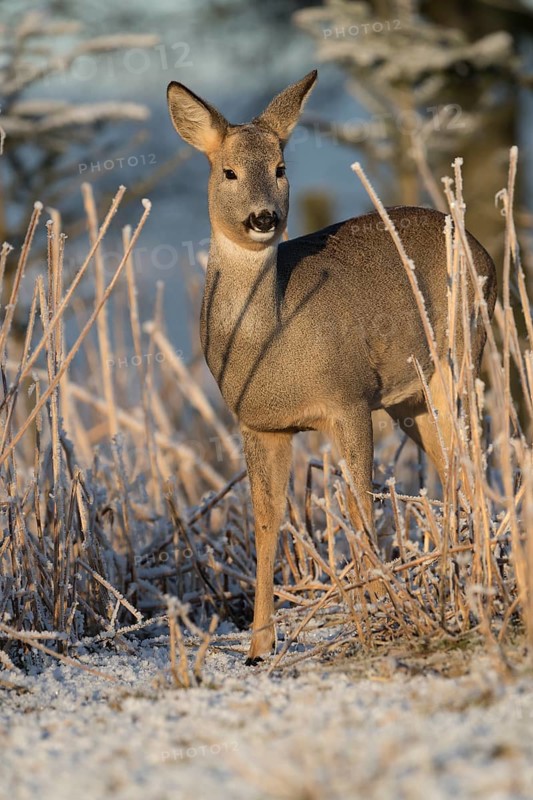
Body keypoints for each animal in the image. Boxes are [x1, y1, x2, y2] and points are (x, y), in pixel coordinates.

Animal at [166, 70, 497, 665]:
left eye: (280, 167)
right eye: (228, 171)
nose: (263, 218)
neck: (274, 340)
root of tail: (483, 251)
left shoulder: (349, 398)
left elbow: (359, 506)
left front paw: (372, 612)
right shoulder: (259, 424)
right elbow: (267, 520)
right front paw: (258, 646)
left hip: (459, 354)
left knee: (469, 457)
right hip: (410, 399)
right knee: (449, 465)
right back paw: (452, 569)